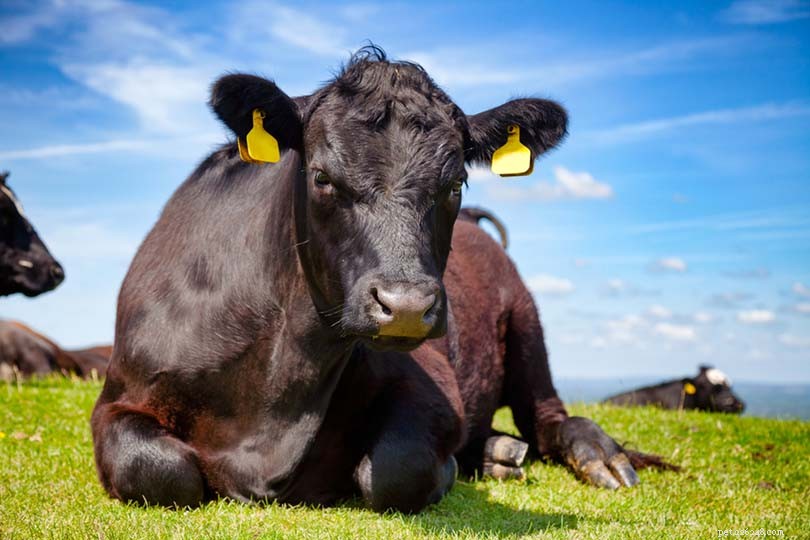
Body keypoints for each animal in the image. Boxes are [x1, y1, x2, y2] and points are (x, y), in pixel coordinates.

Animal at [92, 47, 664, 514]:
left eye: (455, 182)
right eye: (322, 177)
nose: (406, 305)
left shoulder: (432, 387)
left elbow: (395, 468)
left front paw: (450, 470)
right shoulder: (118, 396)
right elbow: (156, 470)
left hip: (527, 326)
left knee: (548, 417)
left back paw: (592, 456)